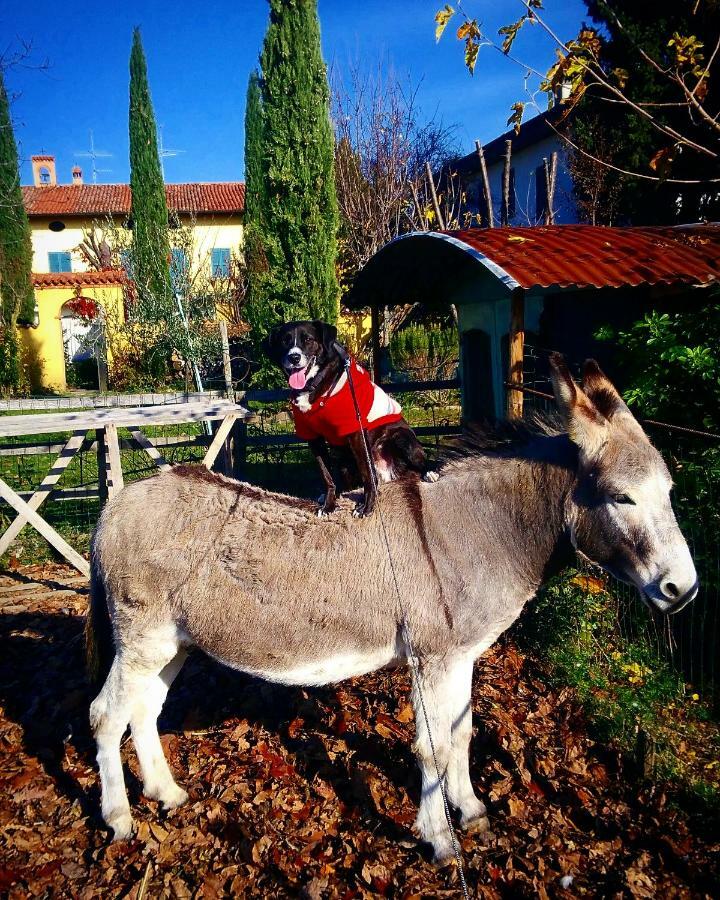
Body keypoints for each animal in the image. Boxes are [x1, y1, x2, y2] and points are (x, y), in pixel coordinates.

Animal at [268, 320, 436, 516]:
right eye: (285, 341)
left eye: (308, 339)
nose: (294, 357)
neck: (316, 384)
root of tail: (388, 472)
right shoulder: (313, 437)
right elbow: (327, 476)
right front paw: (329, 505)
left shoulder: (356, 433)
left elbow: (367, 475)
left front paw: (367, 507)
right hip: (344, 461)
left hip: (401, 438)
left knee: (420, 461)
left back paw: (429, 472)